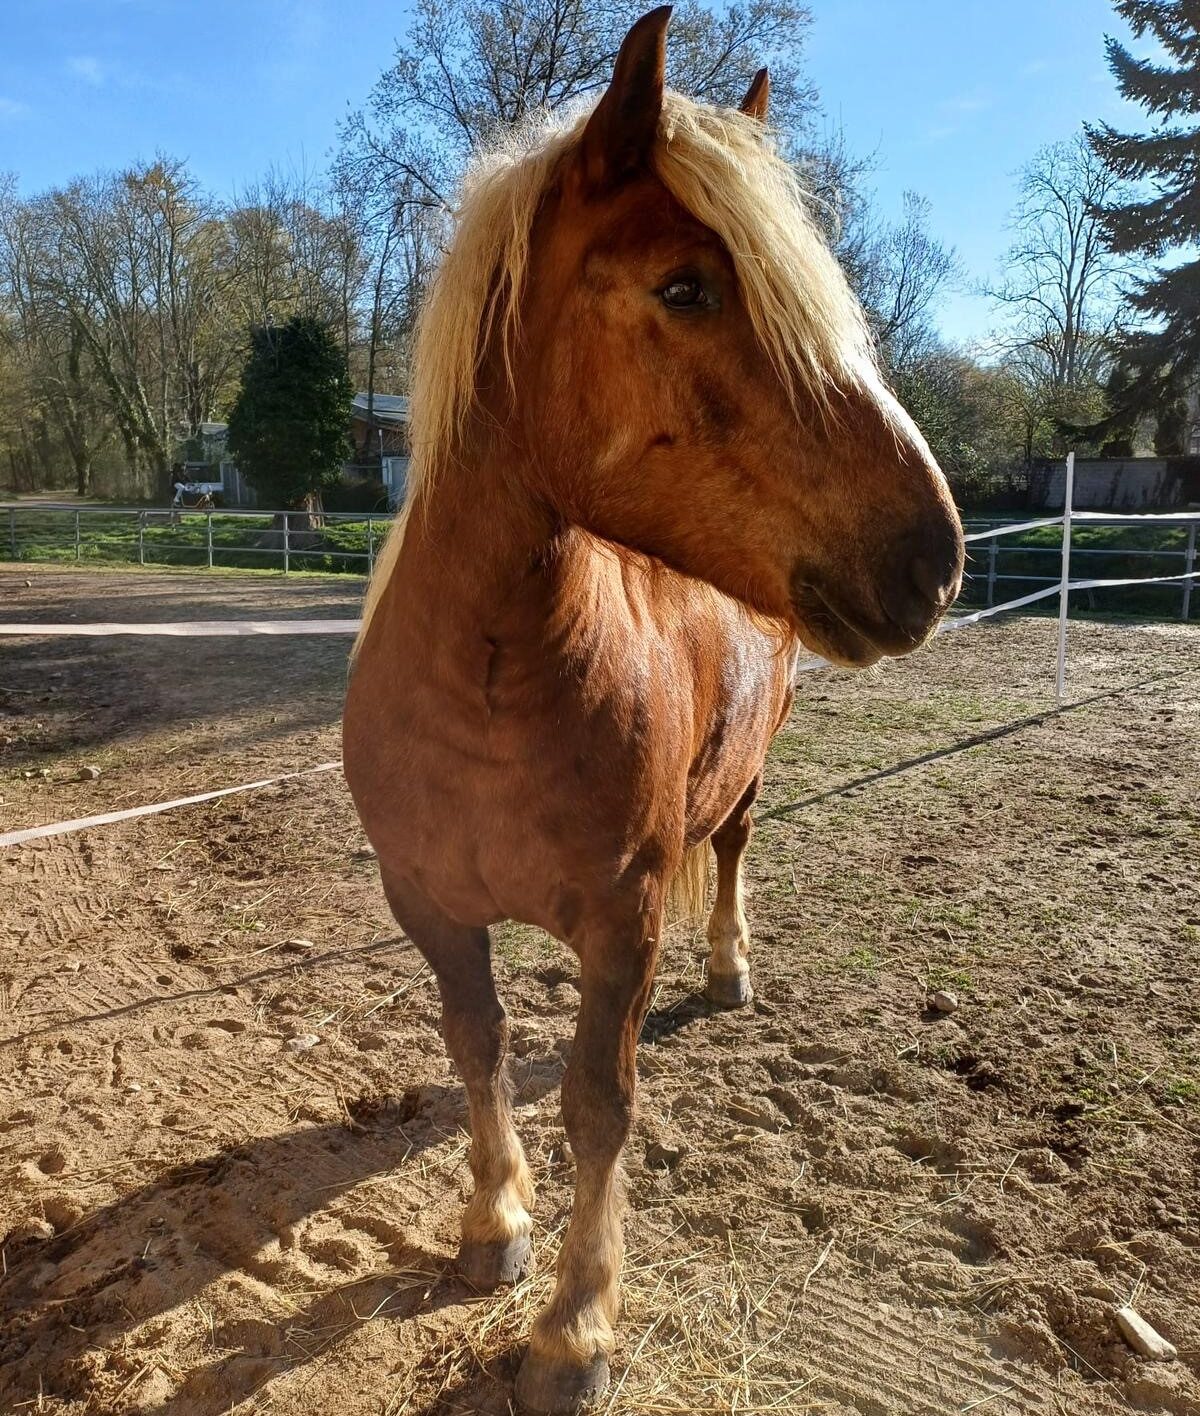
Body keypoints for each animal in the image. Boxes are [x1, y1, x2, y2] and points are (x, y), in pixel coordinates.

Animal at [343, 8, 964, 1411]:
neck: (491, 682)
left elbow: (597, 1102)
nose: (935, 557)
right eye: (686, 287)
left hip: (742, 784)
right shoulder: (428, 904)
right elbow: (477, 1045)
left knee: (729, 852)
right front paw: (492, 1227)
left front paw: (575, 1330)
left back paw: (729, 967)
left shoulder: (619, 921)